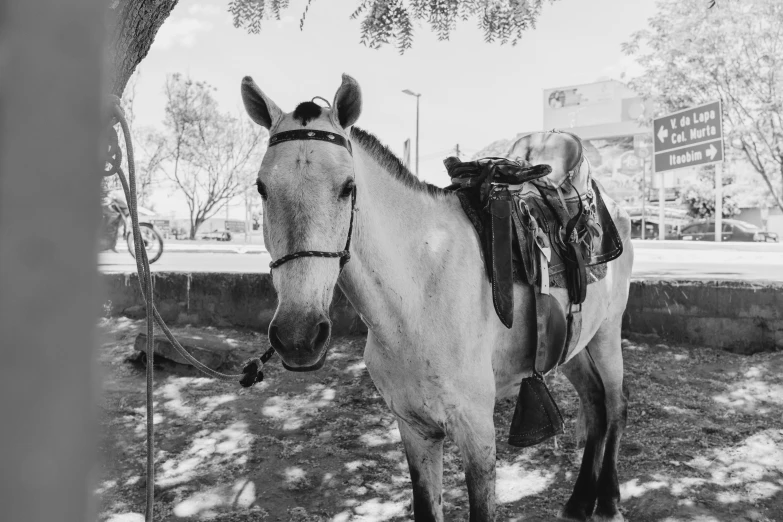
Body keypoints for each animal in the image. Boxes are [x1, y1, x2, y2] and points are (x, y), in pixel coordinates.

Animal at [240, 74, 636, 520]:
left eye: (348, 187)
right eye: (261, 188)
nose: (298, 336)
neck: (418, 297)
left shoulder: (477, 432)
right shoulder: (415, 428)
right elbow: (427, 506)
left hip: (607, 334)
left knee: (615, 406)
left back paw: (608, 501)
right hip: (572, 344)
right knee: (594, 404)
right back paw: (580, 500)